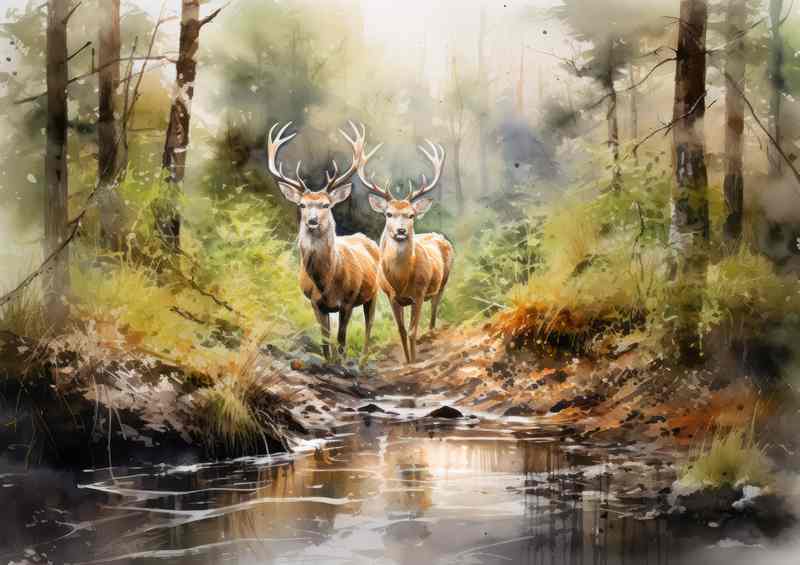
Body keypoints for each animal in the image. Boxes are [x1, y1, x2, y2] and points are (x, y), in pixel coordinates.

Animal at [267, 121, 380, 361]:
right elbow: (325, 341)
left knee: (369, 327)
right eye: (302, 204)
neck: (326, 281)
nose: (312, 221)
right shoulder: (316, 303)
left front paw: (341, 363)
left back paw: (363, 361)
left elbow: (341, 340)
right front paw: (329, 362)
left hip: (373, 292)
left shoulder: (347, 301)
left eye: (326, 205)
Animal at [357, 138, 454, 364]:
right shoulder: (391, 297)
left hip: (443, 280)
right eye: (388, 214)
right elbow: (401, 331)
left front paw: (415, 360)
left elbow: (411, 331)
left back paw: (431, 333)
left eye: (411, 215)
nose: (401, 231)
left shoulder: (419, 293)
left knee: (435, 307)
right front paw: (407, 361)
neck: (400, 280)